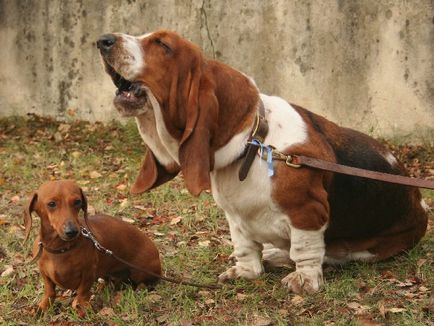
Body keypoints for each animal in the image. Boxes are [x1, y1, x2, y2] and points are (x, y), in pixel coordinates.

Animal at [97, 30, 428, 294]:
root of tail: (420, 201)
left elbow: (305, 250)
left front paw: (304, 281)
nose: (103, 40)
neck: (252, 146)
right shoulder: (236, 218)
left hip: (367, 248)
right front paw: (246, 272)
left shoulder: (308, 211)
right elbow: (245, 248)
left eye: (163, 45)